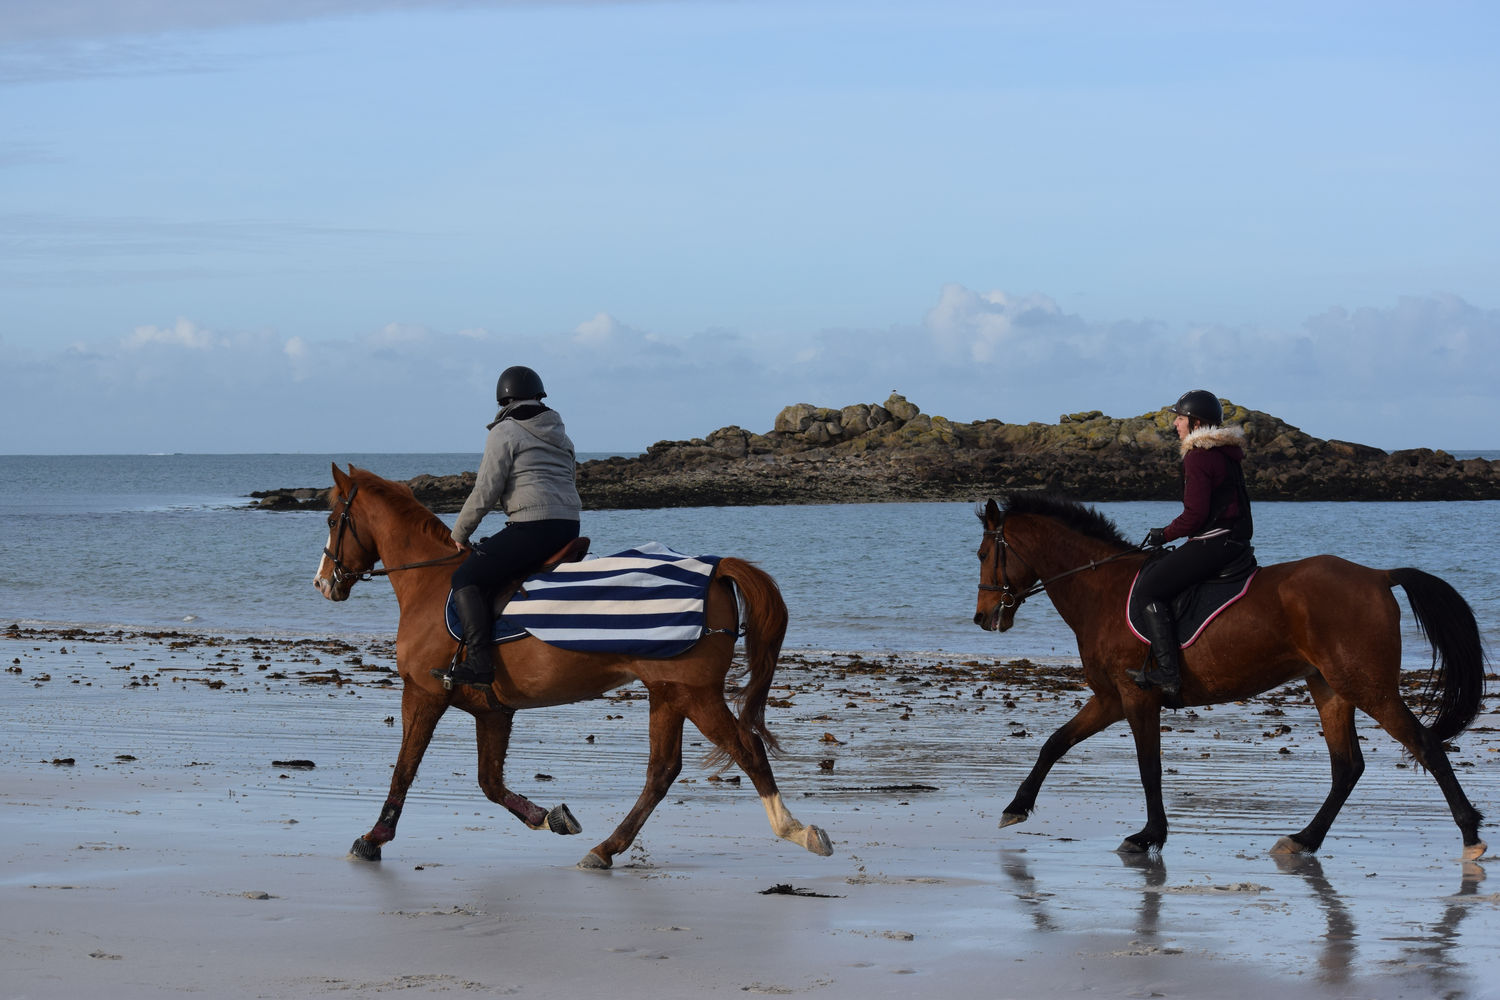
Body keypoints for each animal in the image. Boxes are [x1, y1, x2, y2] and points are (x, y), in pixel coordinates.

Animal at [313, 467, 834, 869]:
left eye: (333, 518)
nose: (323, 582)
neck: (432, 581)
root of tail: (716, 568)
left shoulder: (423, 694)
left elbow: (405, 768)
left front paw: (374, 838)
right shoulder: (493, 711)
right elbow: (490, 782)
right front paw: (549, 816)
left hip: (695, 695)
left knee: (746, 749)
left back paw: (796, 829)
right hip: (669, 693)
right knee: (662, 771)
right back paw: (606, 848)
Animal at [972, 491, 1488, 863]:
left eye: (981, 554)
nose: (981, 617)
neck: (1101, 589)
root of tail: (1379, 576)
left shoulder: (1136, 697)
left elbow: (1148, 766)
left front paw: (1148, 836)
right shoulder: (1110, 698)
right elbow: (1054, 743)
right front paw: (1015, 808)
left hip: (1368, 687)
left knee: (1425, 746)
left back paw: (1471, 836)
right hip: (1330, 687)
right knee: (1347, 767)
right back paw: (1303, 840)